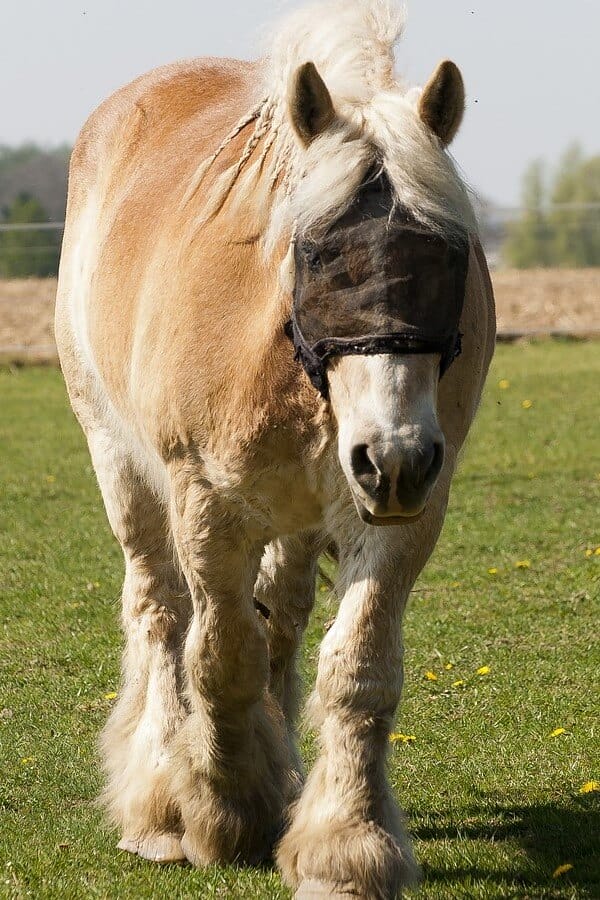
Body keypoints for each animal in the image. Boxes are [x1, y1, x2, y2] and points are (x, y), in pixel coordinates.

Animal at [55, 1, 495, 897]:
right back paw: (161, 803)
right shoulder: (208, 507)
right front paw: (223, 813)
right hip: (121, 463)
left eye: (449, 255)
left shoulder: (398, 517)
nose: (393, 458)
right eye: (319, 251)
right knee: (161, 612)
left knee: (283, 625)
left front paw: (345, 845)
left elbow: (357, 670)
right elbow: (220, 656)